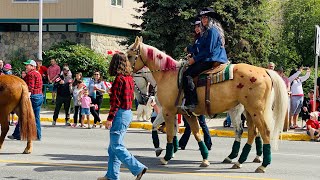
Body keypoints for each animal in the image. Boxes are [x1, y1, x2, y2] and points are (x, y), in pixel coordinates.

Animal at [127, 35, 288, 172]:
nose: (140, 100)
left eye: (129, 55)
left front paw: (166, 156)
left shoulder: (168, 111)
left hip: (255, 110)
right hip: (246, 111)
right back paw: (238, 160)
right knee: (250, 132)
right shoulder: (185, 113)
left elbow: (169, 133)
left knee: (264, 132)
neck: (167, 76)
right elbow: (194, 133)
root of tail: (264, 71)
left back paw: (262, 164)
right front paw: (202, 158)